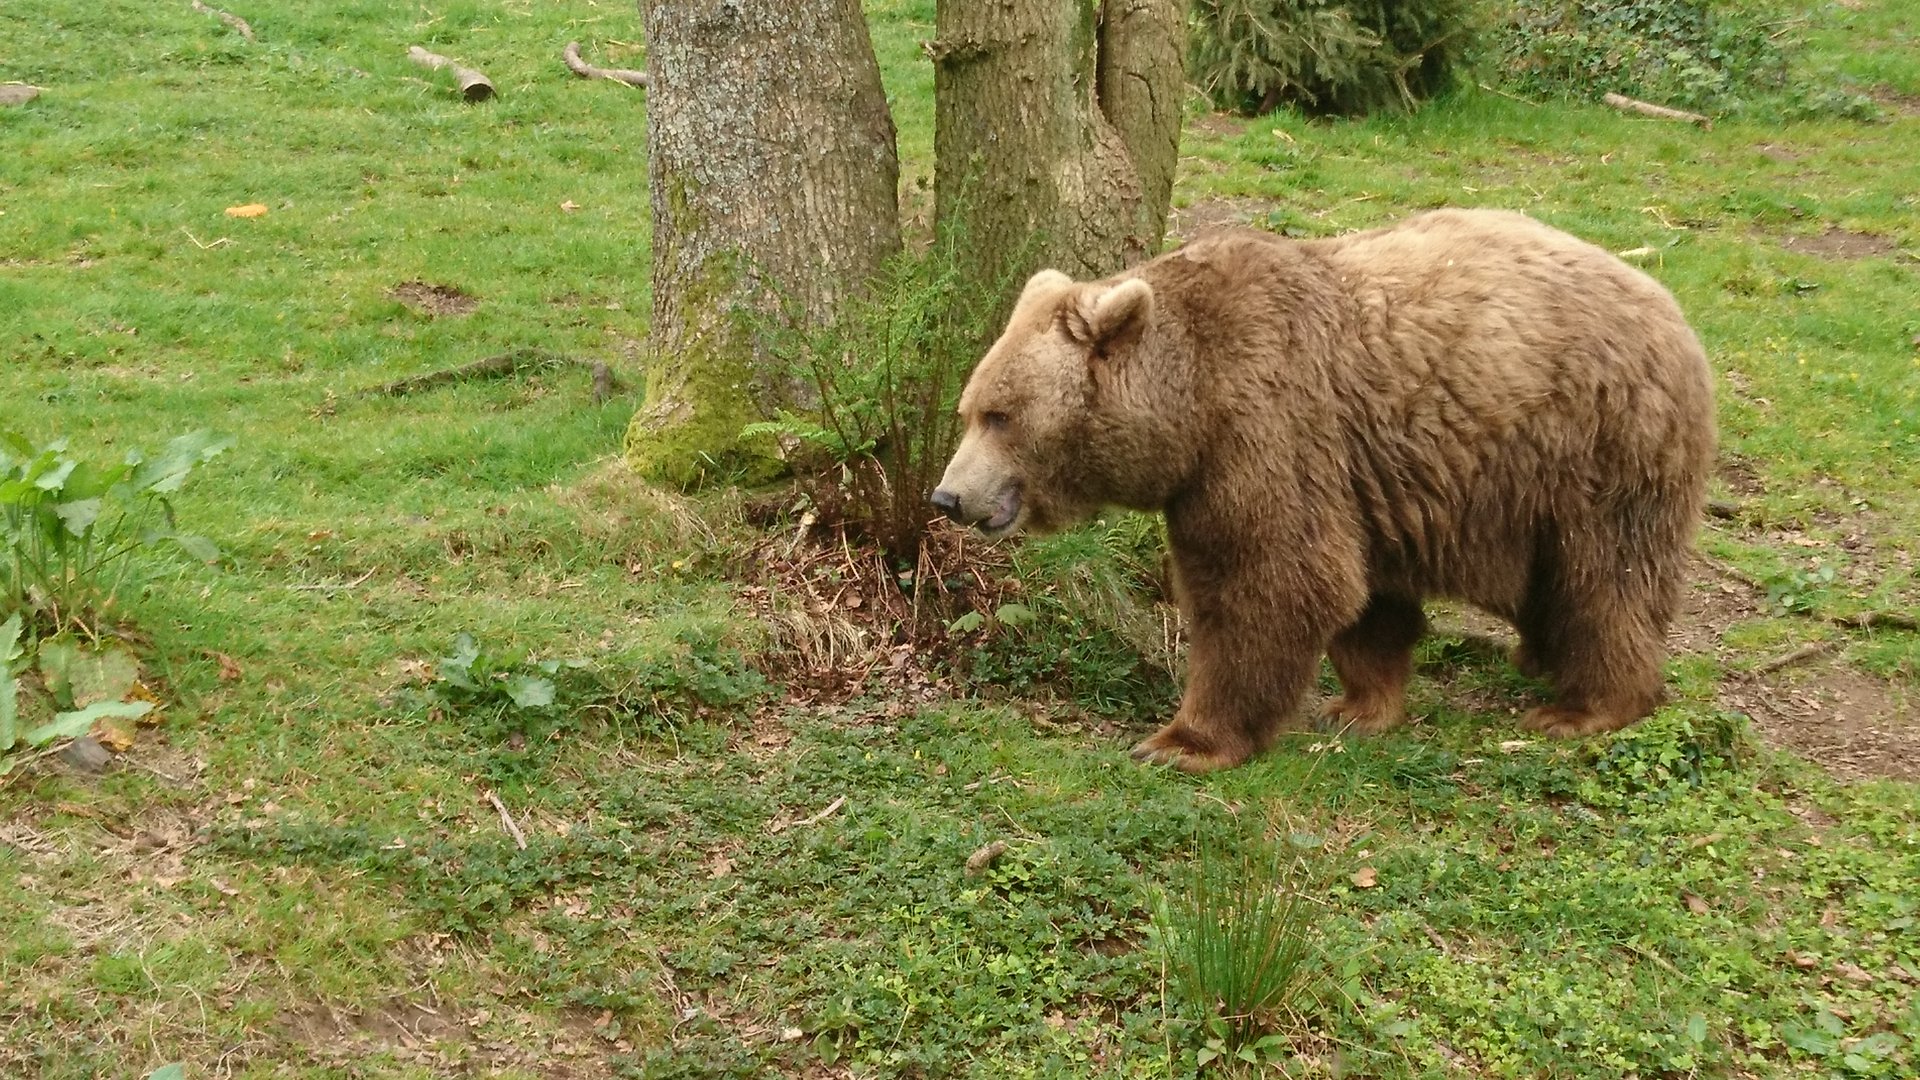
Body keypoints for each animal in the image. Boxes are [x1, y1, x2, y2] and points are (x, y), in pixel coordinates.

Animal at [930, 208, 1717, 773]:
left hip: (1595, 445)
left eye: (1000, 415)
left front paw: (1182, 740)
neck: (1190, 404)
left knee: (1606, 576)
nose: (948, 497)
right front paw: (1359, 705)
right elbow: (1361, 598)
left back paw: (1586, 706)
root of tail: (1670, 307)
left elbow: (1270, 580)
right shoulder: (1355, 476)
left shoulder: (1264, 434)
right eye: (968, 409)